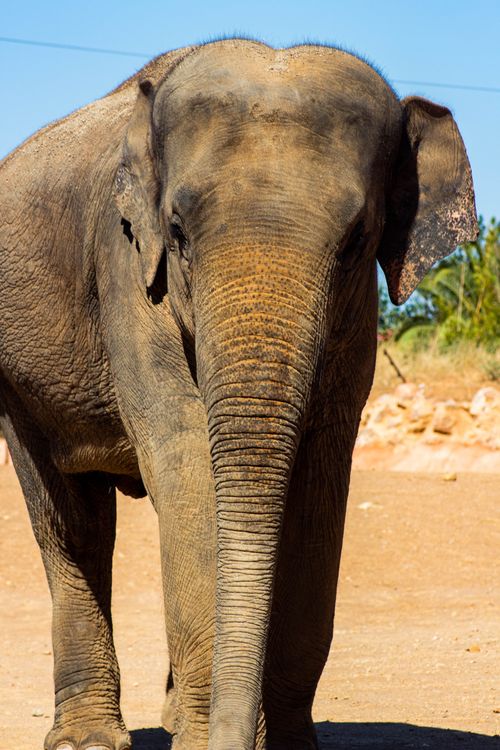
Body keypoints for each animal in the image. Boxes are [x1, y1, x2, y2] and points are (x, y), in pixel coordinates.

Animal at [0, 38, 477, 750]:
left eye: (355, 240)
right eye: (176, 231)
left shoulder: (357, 320)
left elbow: (319, 480)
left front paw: (284, 744)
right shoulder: (128, 273)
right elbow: (189, 462)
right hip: (17, 378)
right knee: (71, 522)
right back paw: (89, 741)